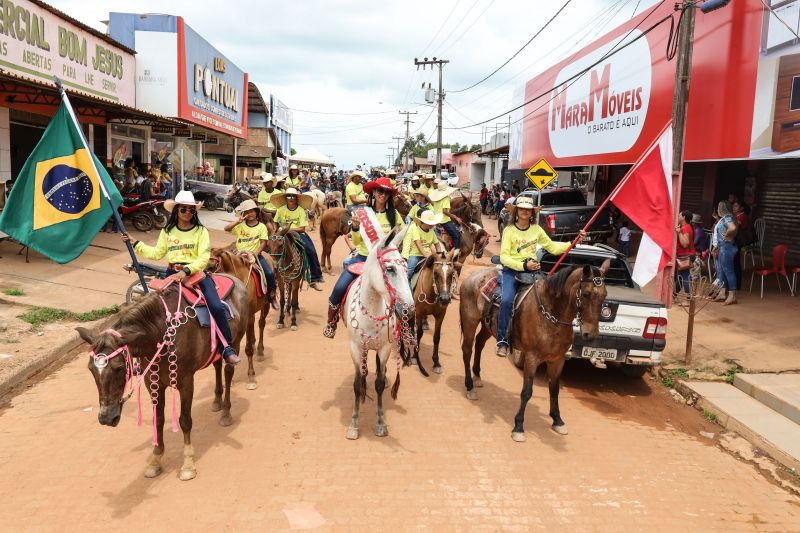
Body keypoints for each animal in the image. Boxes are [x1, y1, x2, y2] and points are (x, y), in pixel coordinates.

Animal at [76, 278, 250, 478]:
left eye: (119, 368)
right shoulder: (153, 383)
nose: (106, 418)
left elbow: (184, 421)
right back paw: (216, 401)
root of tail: (236, 281)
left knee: (228, 372)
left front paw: (188, 463)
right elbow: (157, 421)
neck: (158, 335)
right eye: (91, 369)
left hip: (235, 342)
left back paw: (226, 412)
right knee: (216, 366)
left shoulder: (186, 382)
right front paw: (155, 459)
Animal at [208, 247, 274, 388]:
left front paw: (251, 377)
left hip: (265, 305)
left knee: (261, 324)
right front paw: (230, 380)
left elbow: (247, 349)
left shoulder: (248, 318)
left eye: (211, 267)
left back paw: (260, 351)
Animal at [344, 227, 416, 438]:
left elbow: (379, 383)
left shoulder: (384, 348)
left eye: (407, 268)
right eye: (390, 269)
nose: (409, 310)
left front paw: (381, 422)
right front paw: (354, 424)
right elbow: (357, 384)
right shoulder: (355, 348)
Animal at [460, 260, 608, 440]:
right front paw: (518, 426)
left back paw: (477, 377)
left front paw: (557, 420)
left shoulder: (558, 360)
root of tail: (472, 276)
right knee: (467, 350)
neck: (551, 314)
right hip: (470, 321)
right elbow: (527, 392)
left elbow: (554, 389)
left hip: (488, 326)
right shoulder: (532, 358)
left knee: (479, 344)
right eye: (586, 294)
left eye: (605, 295)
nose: (590, 334)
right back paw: (470, 387)